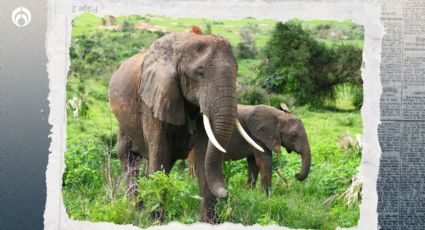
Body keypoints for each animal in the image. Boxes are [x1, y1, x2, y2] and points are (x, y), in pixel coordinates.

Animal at [108, 31, 262, 223]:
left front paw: (207, 222)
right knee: (130, 158)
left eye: (236, 72)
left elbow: (204, 154)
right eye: (200, 73)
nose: (226, 193)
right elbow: (158, 152)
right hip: (123, 121)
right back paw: (137, 209)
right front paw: (155, 220)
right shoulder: (153, 98)